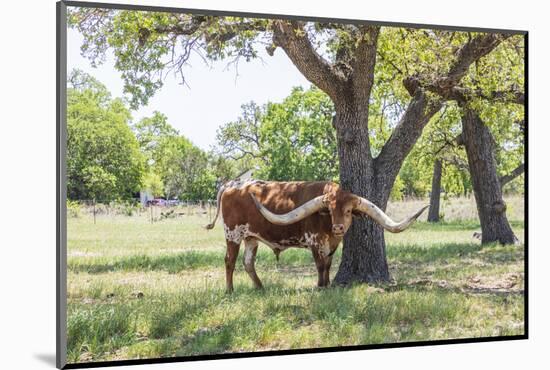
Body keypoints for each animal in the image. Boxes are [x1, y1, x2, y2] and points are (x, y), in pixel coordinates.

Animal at [205, 179, 430, 292]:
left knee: (248, 262)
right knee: (229, 261)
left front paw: (328, 284)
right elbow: (320, 265)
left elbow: (328, 264)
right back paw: (230, 290)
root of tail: (230, 187)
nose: (339, 228)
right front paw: (320, 286)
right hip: (233, 234)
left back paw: (260, 287)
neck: (329, 230)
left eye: (349, 211)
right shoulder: (314, 241)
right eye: (329, 210)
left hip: (251, 237)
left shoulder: (332, 245)